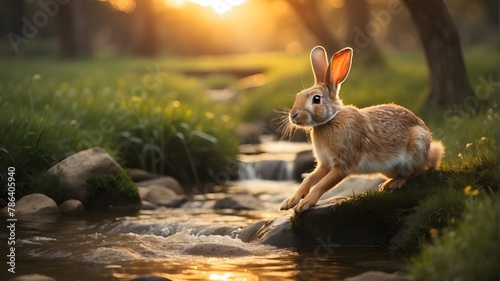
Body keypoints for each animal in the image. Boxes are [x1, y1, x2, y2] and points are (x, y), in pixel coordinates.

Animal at [280, 46, 448, 212]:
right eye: (298, 96)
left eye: (316, 99)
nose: (293, 115)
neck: (330, 120)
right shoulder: (325, 165)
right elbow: (309, 179)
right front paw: (289, 202)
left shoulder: (343, 165)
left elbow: (322, 184)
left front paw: (304, 204)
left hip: (415, 148)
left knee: (416, 172)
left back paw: (394, 184)